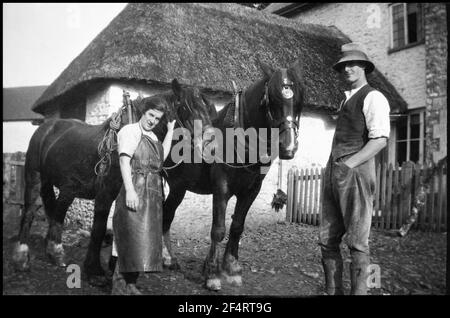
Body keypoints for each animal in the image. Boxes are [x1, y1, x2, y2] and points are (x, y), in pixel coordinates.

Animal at [13, 79, 217, 286]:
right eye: (186, 107)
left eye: (209, 109)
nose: (211, 144)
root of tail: (46, 128)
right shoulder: (105, 194)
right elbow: (99, 228)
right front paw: (94, 270)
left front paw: (117, 270)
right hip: (34, 176)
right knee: (30, 211)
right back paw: (22, 257)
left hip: (64, 187)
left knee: (57, 211)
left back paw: (55, 252)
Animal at [160, 60, 304, 290]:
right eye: (272, 100)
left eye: (299, 102)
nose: (288, 146)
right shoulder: (222, 186)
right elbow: (218, 229)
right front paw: (212, 274)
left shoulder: (252, 189)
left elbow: (237, 226)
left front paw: (231, 267)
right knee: (166, 214)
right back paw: (165, 256)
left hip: (179, 188)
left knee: (167, 213)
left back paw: (168, 258)